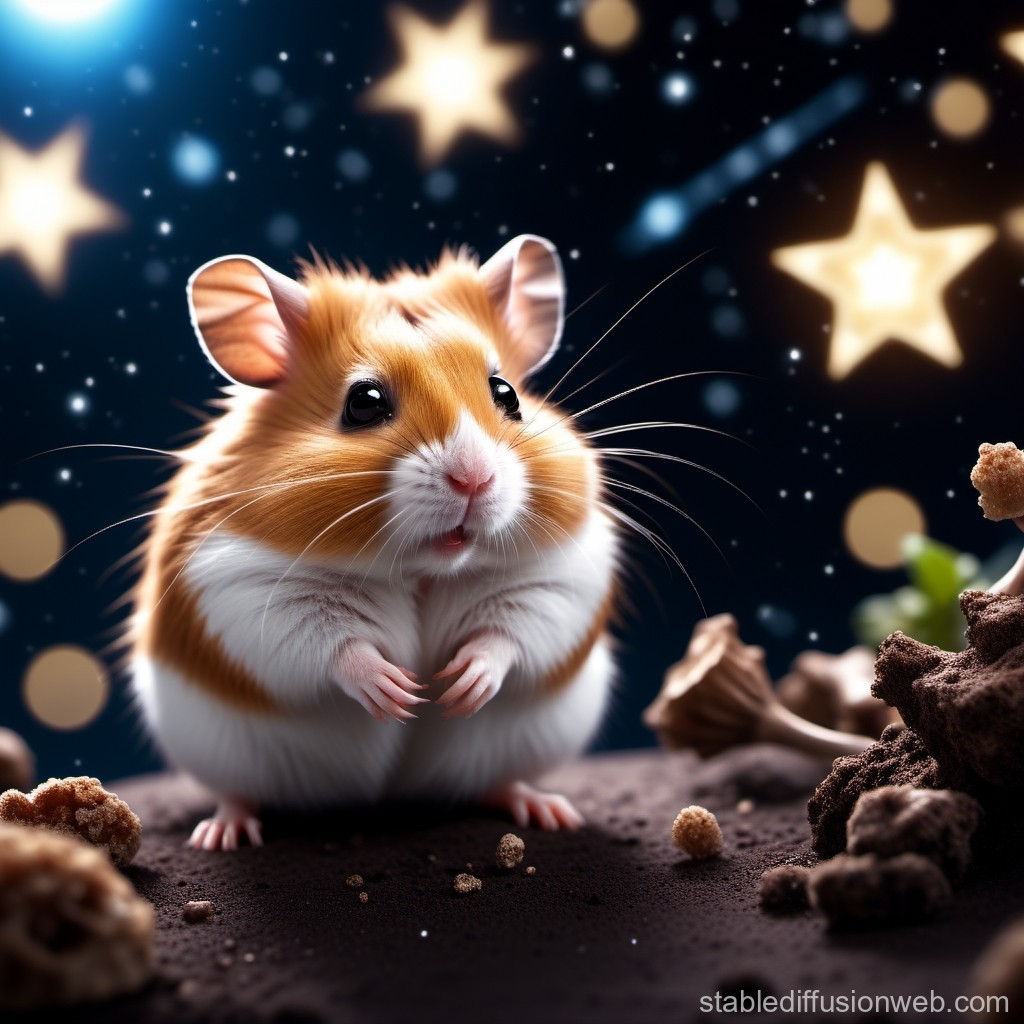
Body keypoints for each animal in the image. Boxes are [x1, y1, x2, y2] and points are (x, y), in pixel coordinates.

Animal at [130, 234, 620, 850]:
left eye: (506, 392)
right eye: (363, 402)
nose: (475, 479)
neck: (426, 569)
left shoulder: (562, 576)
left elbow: (510, 633)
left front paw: (457, 687)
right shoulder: (243, 587)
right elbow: (334, 645)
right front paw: (401, 693)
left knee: (498, 782)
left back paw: (546, 809)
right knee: (237, 792)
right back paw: (223, 833)